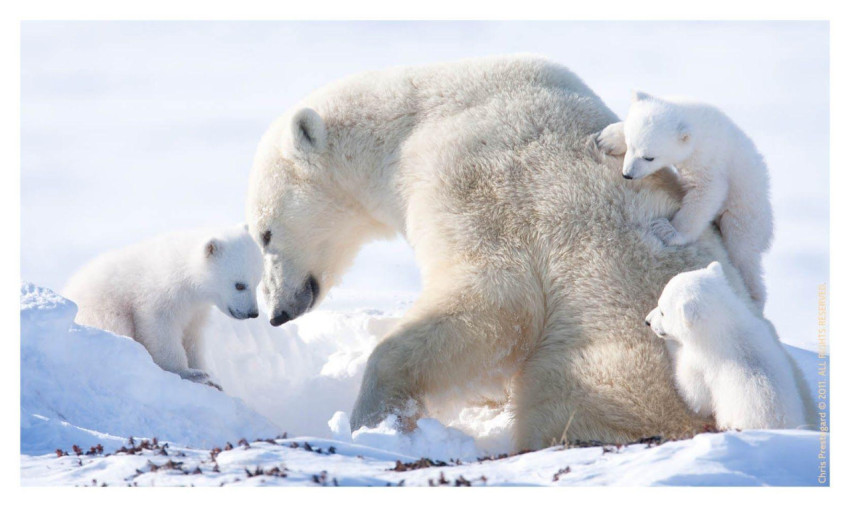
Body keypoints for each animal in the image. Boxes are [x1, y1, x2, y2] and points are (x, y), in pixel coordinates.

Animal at [63, 225, 263, 387]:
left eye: (257, 281)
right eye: (239, 285)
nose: (253, 313)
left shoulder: (195, 309)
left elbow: (193, 337)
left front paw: (207, 376)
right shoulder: (160, 294)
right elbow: (160, 331)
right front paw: (190, 373)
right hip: (102, 309)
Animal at [597, 91, 774, 312]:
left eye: (649, 157)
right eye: (631, 145)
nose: (627, 174)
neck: (696, 123)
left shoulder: (707, 158)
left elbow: (708, 191)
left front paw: (667, 230)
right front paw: (608, 137)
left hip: (746, 214)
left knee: (743, 252)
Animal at [645, 262, 806, 429]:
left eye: (662, 311)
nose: (647, 321)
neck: (729, 327)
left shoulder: (702, 362)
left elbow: (695, 396)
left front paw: (672, 344)